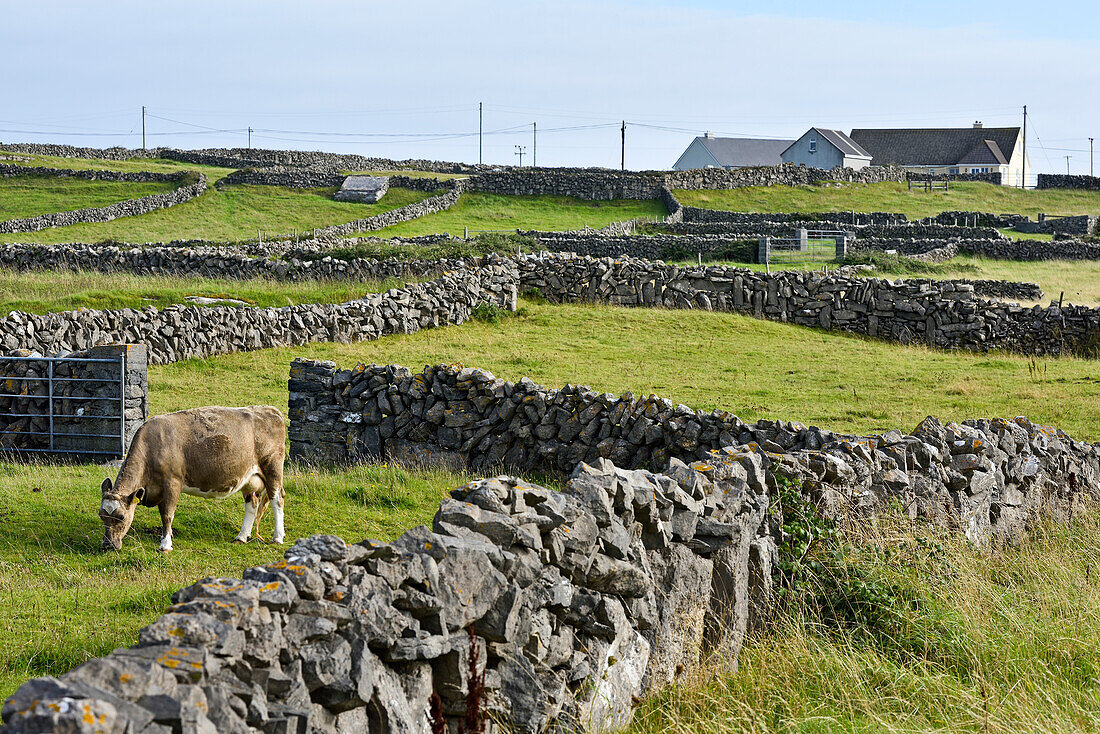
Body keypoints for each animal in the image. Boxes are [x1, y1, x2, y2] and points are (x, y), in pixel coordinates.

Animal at [100, 407, 288, 550]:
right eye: (101, 516)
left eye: (121, 517)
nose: (108, 545)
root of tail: (269, 410)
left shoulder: (172, 484)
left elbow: (167, 515)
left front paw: (165, 545)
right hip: (249, 478)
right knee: (252, 504)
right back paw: (241, 536)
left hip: (273, 469)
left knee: (277, 499)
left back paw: (277, 537)